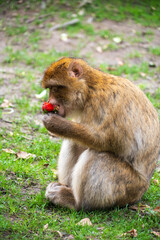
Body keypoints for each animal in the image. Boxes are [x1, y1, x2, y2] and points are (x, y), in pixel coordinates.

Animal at [41, 57, 160, 211]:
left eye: (55, 88)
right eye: (50, 89)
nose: (49, 102)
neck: (89, 90)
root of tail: (141, 192)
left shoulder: (104, 102)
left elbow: (103, 141)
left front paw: (56, 124)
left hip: (129, 188)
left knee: (99, 156)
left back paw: (76, 202)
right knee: (74, 143)